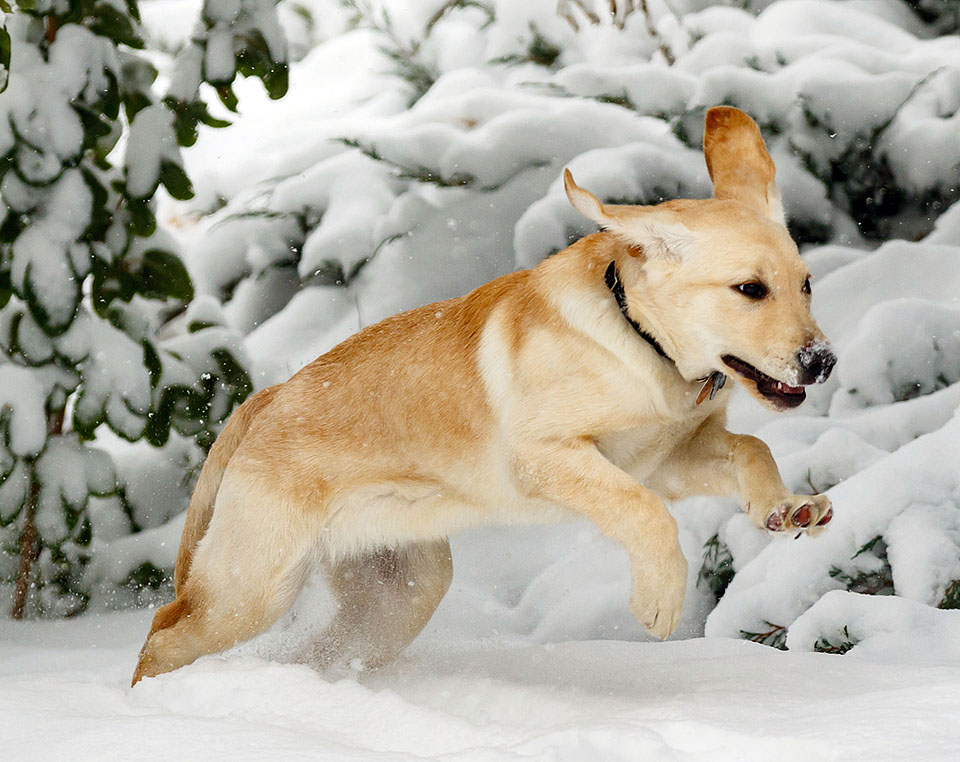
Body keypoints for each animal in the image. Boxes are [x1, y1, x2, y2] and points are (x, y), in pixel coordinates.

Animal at [131, 107, 836, 684]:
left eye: (806, 285)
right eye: (749, 289)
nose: (823, 362)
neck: (640, 341)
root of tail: (265, 398)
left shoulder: (669, 458)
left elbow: (752, 450)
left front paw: (786, 508)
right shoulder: (550, 457)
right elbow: (646, 514)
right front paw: (659, 598)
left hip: (401, 592)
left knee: (318, 653)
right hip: (252, 586)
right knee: (162, 634)